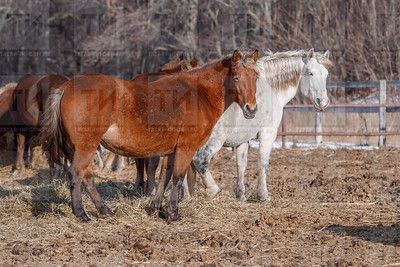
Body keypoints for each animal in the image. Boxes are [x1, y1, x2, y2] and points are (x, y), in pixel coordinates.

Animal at [192, 49, 332, 202]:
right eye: (310, 73)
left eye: (326, 74)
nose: (322, 102)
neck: (270, 87)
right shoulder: (267, 135)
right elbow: (263, 163)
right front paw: (263, 195)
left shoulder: (242, 139)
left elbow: (241, 165)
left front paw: (241, 195)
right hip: (214, 140)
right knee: (200, 160)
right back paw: (212, 190)